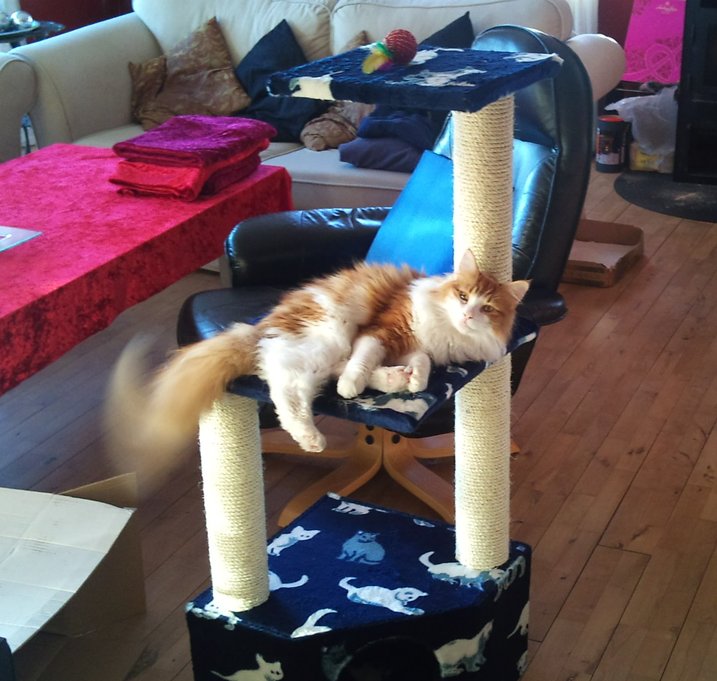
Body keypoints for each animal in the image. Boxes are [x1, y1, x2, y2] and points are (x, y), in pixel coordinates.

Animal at [105, 249, 528, 490]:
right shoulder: (383, 331)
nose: (469, 314)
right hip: (326, 336)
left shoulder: (415, 348)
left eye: (487, 308)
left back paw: (394, 380)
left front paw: (416, 380)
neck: (447, 330)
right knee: (286, 388)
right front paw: (356, 385)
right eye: (462, 296)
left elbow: (421, 363)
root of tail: (262, 326)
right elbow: (362, 361)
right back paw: (314, 435)